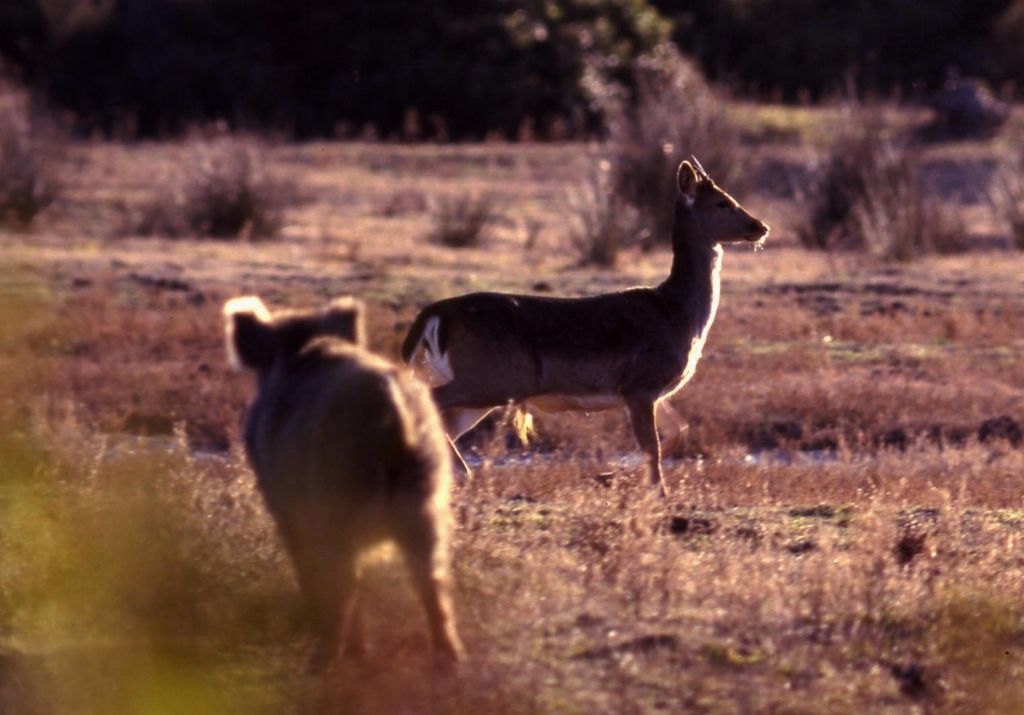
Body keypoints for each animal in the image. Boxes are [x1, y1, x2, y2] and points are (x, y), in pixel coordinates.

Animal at [227, 292, 464, 671]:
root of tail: (390, 409)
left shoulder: (287, 510)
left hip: (335, 504)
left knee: (343, 582)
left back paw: (320, 663)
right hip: (425, 504)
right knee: (431, 579)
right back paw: (449, 662)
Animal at [399, 159, 770, 495]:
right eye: (721, 201)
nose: (761, 226)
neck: (676, 313)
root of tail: (435, 313)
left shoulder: (648, 390)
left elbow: (679, 429)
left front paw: (610, 476)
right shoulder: (640, 383)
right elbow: (652, 447)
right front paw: (655, 492)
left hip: (481, 389)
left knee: (441, 421)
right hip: (490, 378)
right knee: (428, 401)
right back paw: (462, 474)